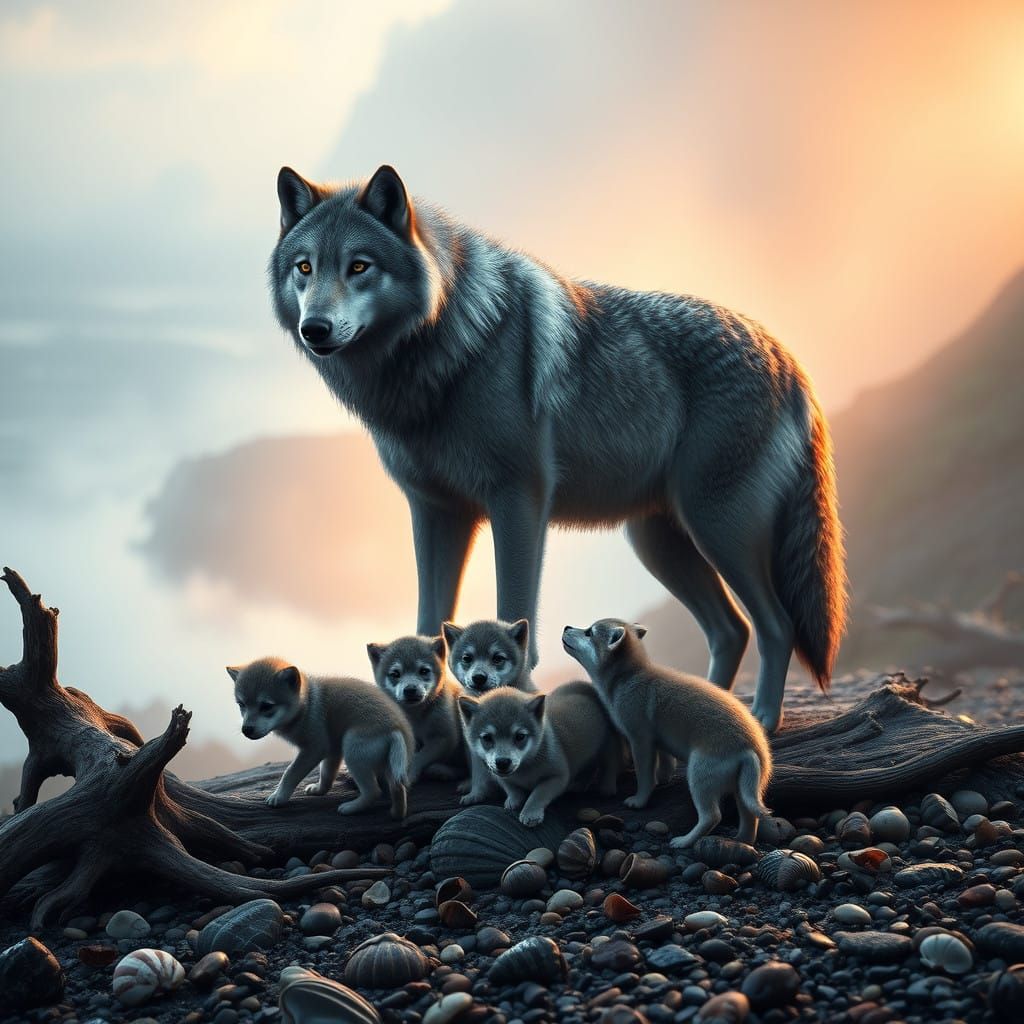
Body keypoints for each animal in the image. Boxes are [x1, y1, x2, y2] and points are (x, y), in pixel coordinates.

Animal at [228, 657, 412, 818]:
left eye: (266, 706)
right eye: (241, 705)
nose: (246, 730)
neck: (306, 705)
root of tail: (394, 728)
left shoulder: (315, 749)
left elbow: (290, 773)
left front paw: (279, 797)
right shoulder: (332, 751)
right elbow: (326, 775)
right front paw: (319, 790)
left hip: (353, 751)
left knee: (373, 792)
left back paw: (351, 808)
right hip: (391, 766)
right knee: (398, 788)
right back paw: (396, 815)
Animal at [268, 164, 847, 732]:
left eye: (359, 266)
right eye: (305, 268)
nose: (314, 328)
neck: (440, 357)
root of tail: (789, 359)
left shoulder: (519, 500)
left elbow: (513, 616)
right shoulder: (434, 511)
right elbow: (429, 620)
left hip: (717, 529)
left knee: (776, 626)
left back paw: (762, 720)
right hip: (659, 543)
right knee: (731, 630)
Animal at [458, 681, 621, 826]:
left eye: (520, 736)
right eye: (487, 738)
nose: (503, 762)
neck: (525, 769)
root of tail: (585, 689)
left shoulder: (557, 777)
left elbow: (538, 794)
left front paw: (530, 813)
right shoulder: (499, 776)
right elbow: (511, 789)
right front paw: (514, 800)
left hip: (607, 746)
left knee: (610, 764)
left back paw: (607, 788)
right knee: (588, 768)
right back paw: (579, 785)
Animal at [562, 619, 772, 846]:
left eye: (589, 632)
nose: (566, 627)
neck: (627, 677)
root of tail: (748, 750)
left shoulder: (640, 739)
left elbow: (645, 775)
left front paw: (639, 800)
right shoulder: (659, 739)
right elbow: (665, 761)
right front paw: (664, 777)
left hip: (700, 774)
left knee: (712, 816)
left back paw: (684, 841)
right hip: (747, 787)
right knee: (749, 815)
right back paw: (742, 840)